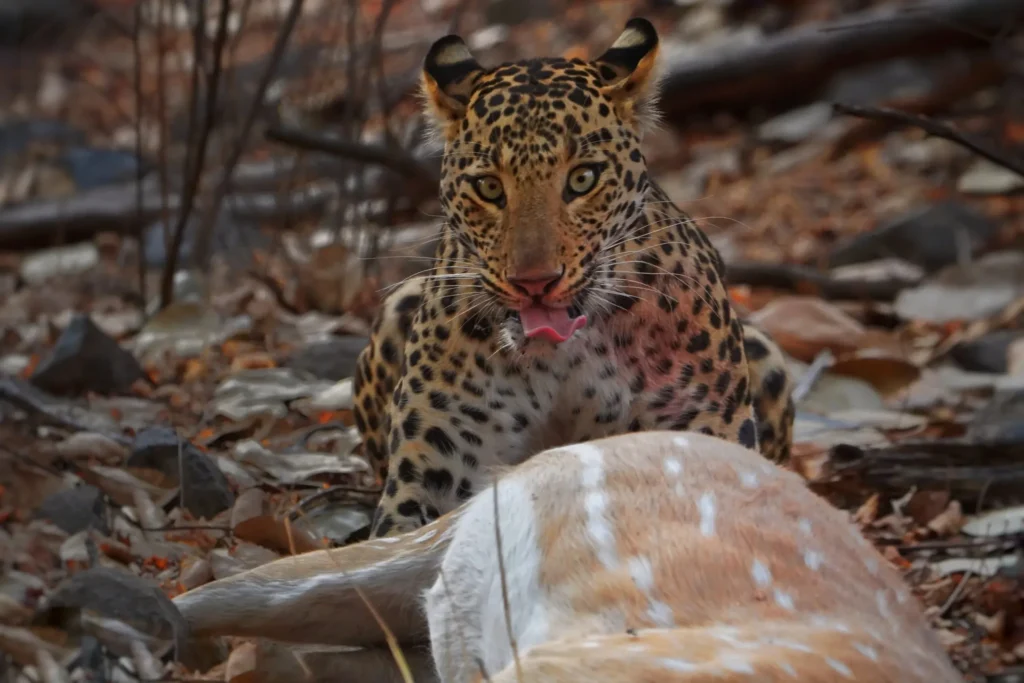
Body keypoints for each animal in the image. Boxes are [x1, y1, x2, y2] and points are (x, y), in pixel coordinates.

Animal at [352, 17, 796, 538]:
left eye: (583, 179)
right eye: (488, 187)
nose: (534, 282)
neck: (562, 360)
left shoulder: (702, 426)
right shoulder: (436, 464)